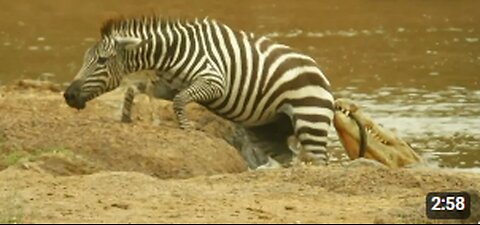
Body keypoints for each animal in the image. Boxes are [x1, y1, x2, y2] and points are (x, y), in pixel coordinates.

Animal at [62, 16, 334, 165]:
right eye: (87, 59)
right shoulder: (167, 86)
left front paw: (187, 130)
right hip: (268, 130)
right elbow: (133, 91)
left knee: (320, 161)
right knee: (287, 157)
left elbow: (180, 102)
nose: (68, 95)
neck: (173, 52)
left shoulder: (214, 82)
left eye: (101, 61)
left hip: (310, 122)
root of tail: (321, 73)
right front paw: (126, 118)